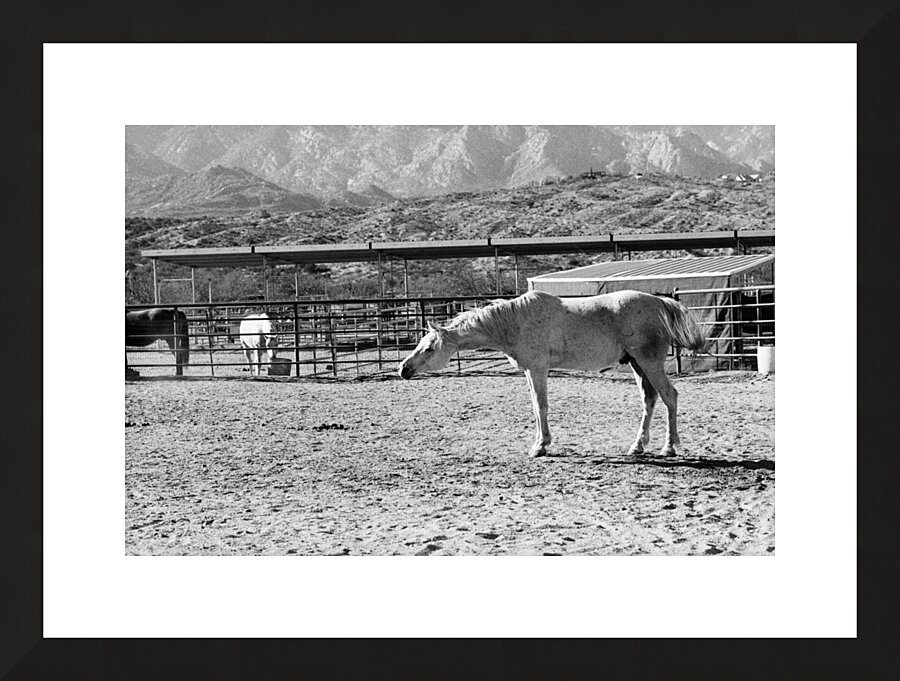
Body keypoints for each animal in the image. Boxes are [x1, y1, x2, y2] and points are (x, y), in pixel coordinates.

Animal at [398, 289, 707, 458]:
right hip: (637, 364)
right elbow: (536, 408)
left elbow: (541, 406)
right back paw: (637, 447)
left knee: (670, 396)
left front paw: (540, 447)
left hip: (649, 362)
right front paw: (539, 443)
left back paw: (669, 448)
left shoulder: (537, 370)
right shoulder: (529, 371)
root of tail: (660, 303)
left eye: (429, 348)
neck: (516, 321)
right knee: (650, 400)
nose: (403, 369)